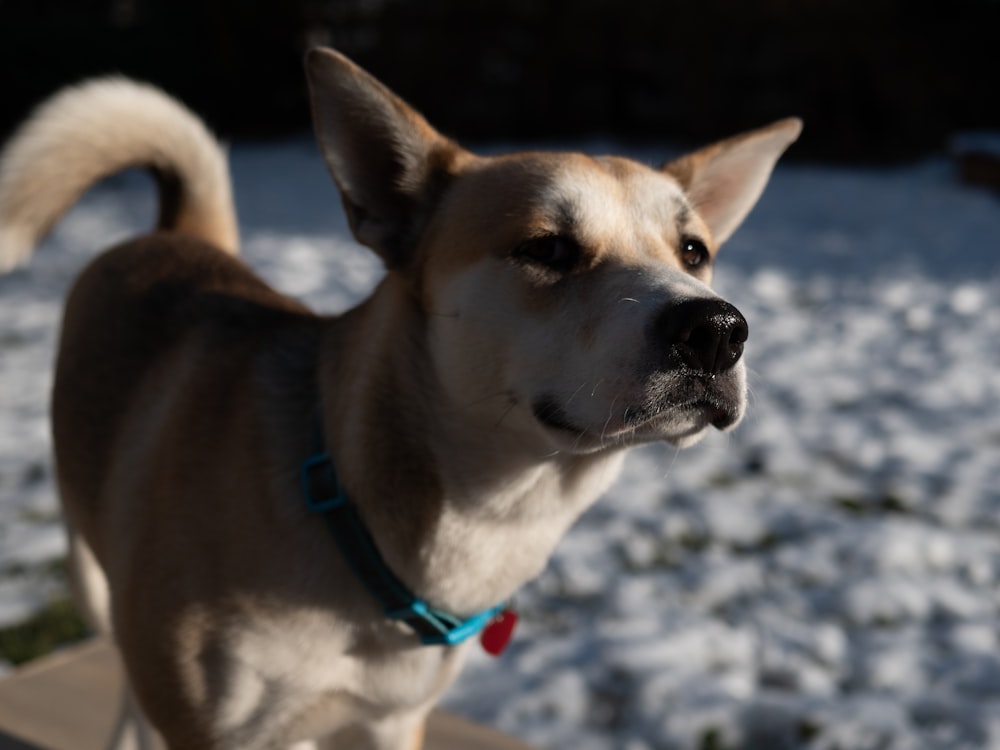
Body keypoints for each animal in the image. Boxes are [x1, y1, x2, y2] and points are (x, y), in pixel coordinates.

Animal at [0, 48, 796, 750]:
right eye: (547, 249)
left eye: (693, 251)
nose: (717, 331)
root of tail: (174, 234)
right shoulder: (208, 726)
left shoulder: (391, 719)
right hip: (92, 574)